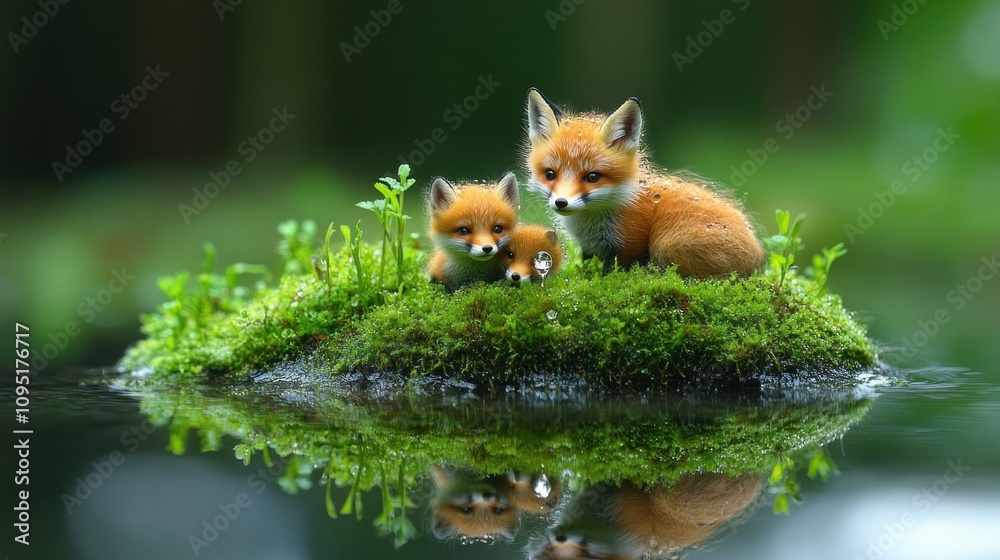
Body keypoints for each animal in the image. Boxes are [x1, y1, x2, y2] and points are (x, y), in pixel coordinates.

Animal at [524, 88, 766, 278]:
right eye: (550, 174)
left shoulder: (630, 241)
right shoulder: (589, 249)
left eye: (592, 177)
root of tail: (756, 258)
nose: (561, 203)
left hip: (666, 245)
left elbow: (613, 273)